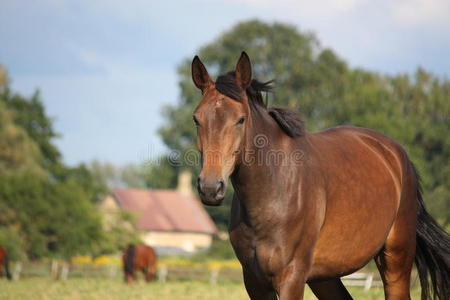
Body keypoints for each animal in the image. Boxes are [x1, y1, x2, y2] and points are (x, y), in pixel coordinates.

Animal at [191, 52, 450, 298]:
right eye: (196, 119)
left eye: (240, 119)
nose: (210, 187)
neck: (272, 194)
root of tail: (397, 154)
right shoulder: (255, 282)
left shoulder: (292, 278)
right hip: (324, 276)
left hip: (396, 260)